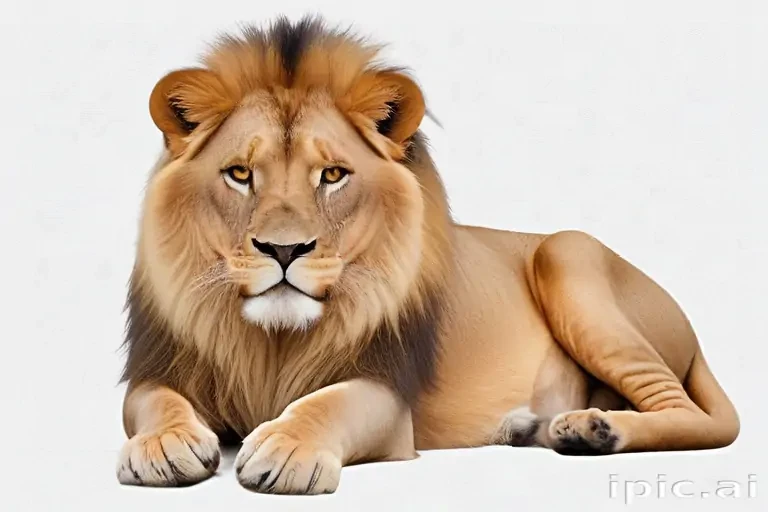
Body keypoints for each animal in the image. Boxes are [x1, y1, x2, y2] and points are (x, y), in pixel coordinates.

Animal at [116, 15, 740, 494]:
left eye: (333, 175)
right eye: (240, 174)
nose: (284, 248)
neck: (272, 342)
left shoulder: (388, 394)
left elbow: (329, 402)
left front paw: (287, 450)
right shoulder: (158, 367)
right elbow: (153, 402)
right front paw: (163, 445)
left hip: (569, 255)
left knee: (690, 413)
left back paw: (597, 431)